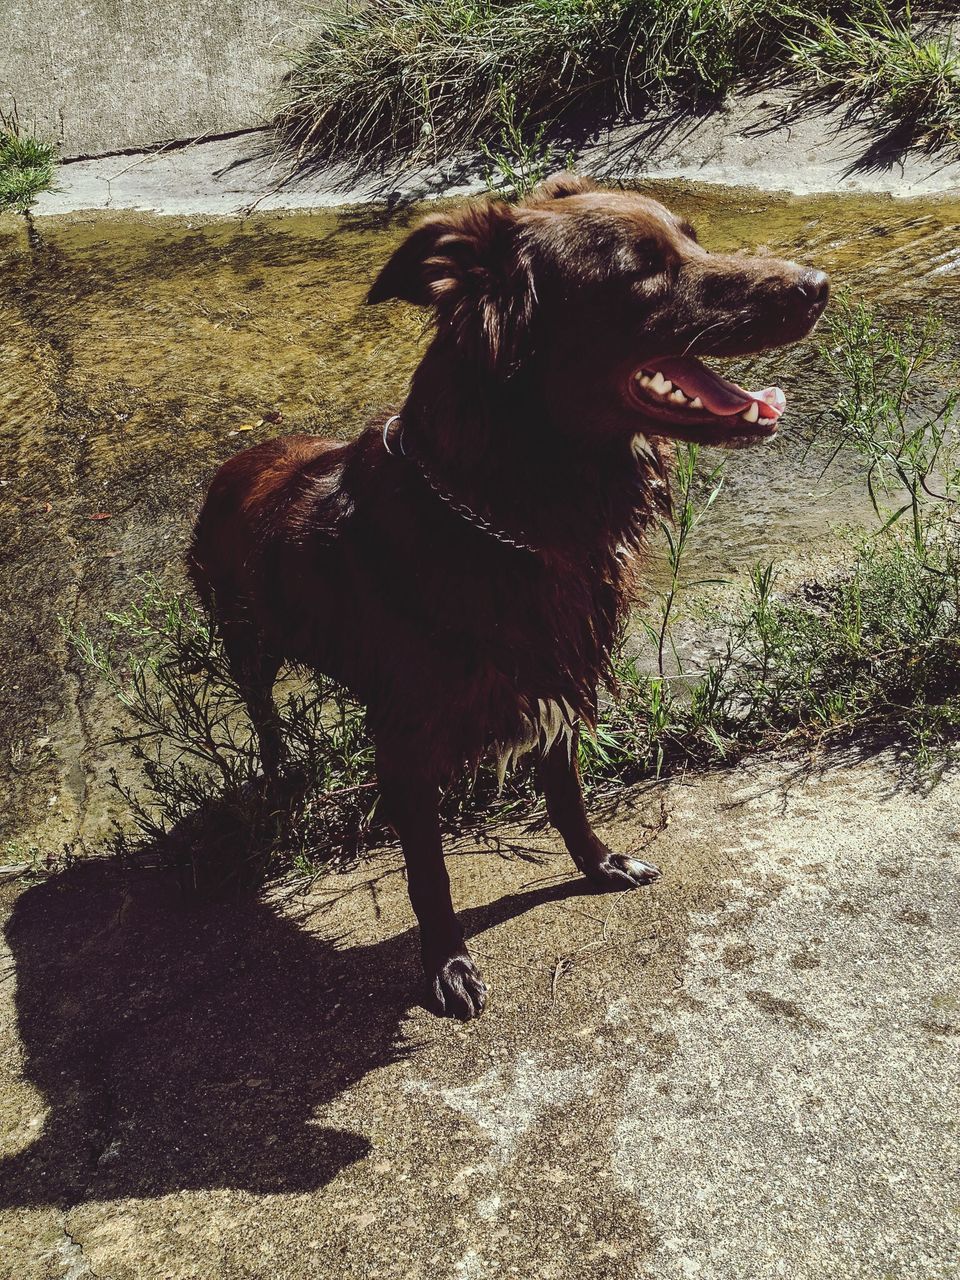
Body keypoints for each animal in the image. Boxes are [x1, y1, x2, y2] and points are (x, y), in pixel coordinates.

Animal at [188, 172, 829, 1018]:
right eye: (643, 268)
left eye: (693, 239)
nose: (817, 284)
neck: (501, 509)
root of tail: (235, 465)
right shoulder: (404, 740)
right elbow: (429, 874)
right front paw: (446, 964)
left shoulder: (555, 676)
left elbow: (567, 796)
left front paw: (599, 864)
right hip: (245, 636)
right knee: (260, 707)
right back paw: (282, 769)